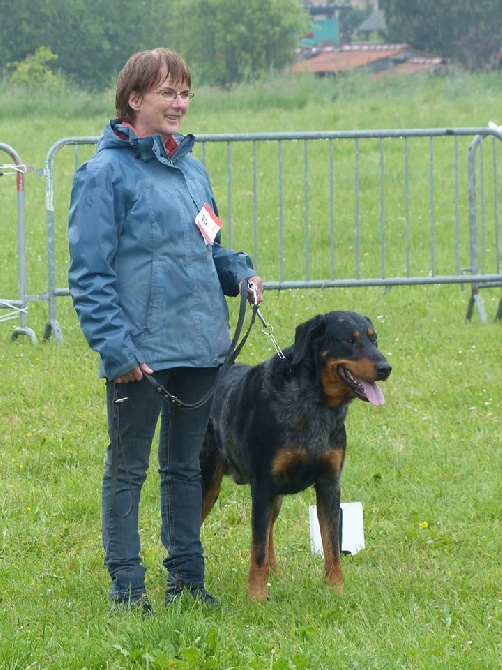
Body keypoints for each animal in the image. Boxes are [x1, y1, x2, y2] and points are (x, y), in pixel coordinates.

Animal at [200, 312, 392, 600]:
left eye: (374, 338)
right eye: (350, 340)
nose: (386, 367)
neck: (314, 403)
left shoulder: (329, 484)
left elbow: (332, 546)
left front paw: (337, 591)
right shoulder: (263, 486)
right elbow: (257, 550)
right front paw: (257, 598)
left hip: (274, 498)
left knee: (269, 532)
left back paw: (276, 575)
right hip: (207, 482)